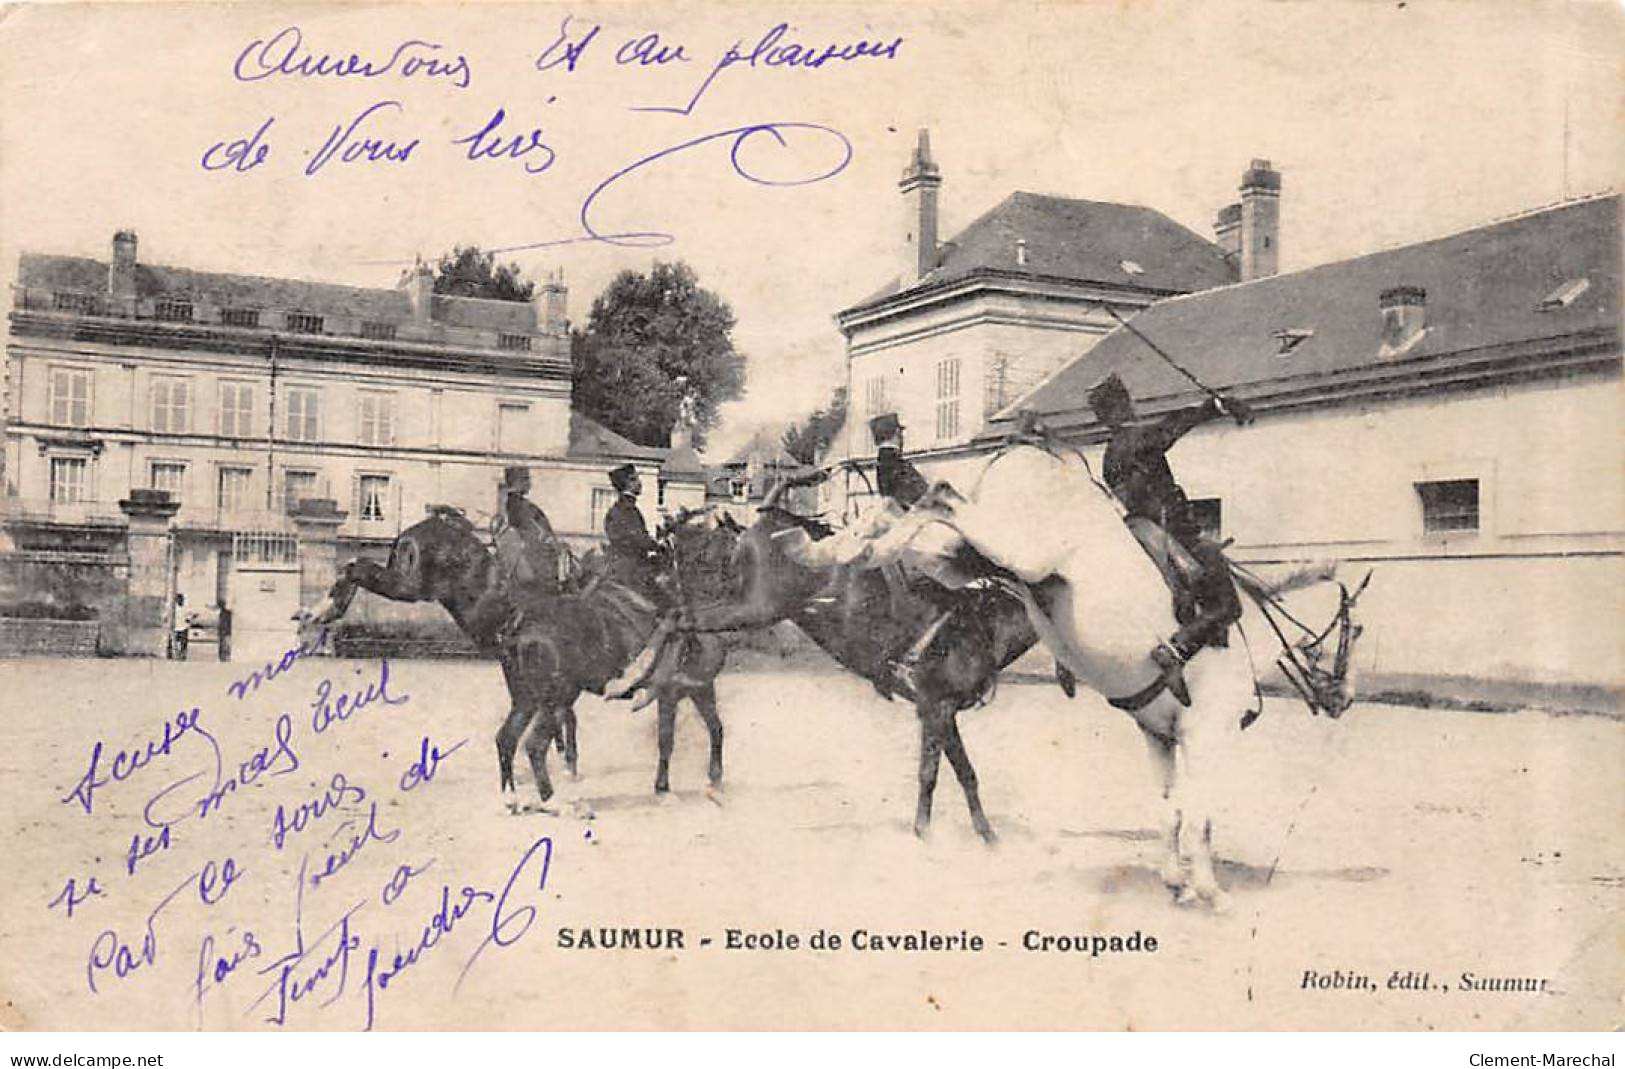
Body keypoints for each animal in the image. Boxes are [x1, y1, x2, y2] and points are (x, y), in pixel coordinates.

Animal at [302, 503, 734, 802]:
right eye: (732, 540)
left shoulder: (693, 689)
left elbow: (709, 729)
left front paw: (706, 781)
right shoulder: (681, 690)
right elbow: (673, 738)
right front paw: (679, 786)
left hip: (529, 694)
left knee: (509, 739)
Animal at [672, 503, 1040, 838]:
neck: (982, 621)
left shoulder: (935, 710)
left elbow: (952, 772)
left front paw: (970, 832)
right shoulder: (938, 706)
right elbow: (941, 773)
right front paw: (943, 832)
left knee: (683, 623)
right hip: (752, 608)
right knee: (679, 620)